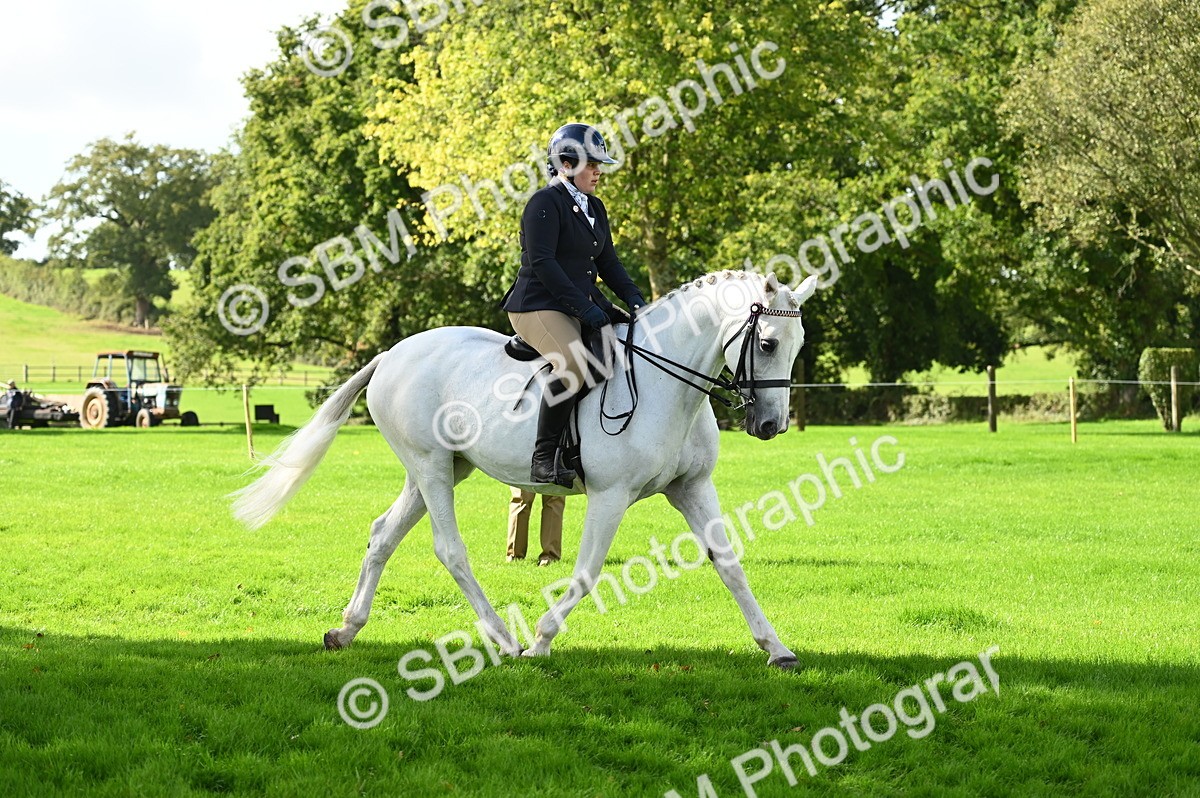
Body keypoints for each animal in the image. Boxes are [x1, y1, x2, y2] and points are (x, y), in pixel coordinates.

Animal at [231, 270, 820, 667]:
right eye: (767, 343)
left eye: (798, 346)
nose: (771, 425)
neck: (664, 383)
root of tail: (392, 354)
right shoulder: (611, 496)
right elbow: (585, 573)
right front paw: (540, 641)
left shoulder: (692, 488)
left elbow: (730, 564)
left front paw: (776, 648)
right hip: (431, 467)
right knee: (450, 550)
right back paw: (505, 639)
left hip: (441, 469)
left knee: (382, 535)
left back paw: (346, 630)